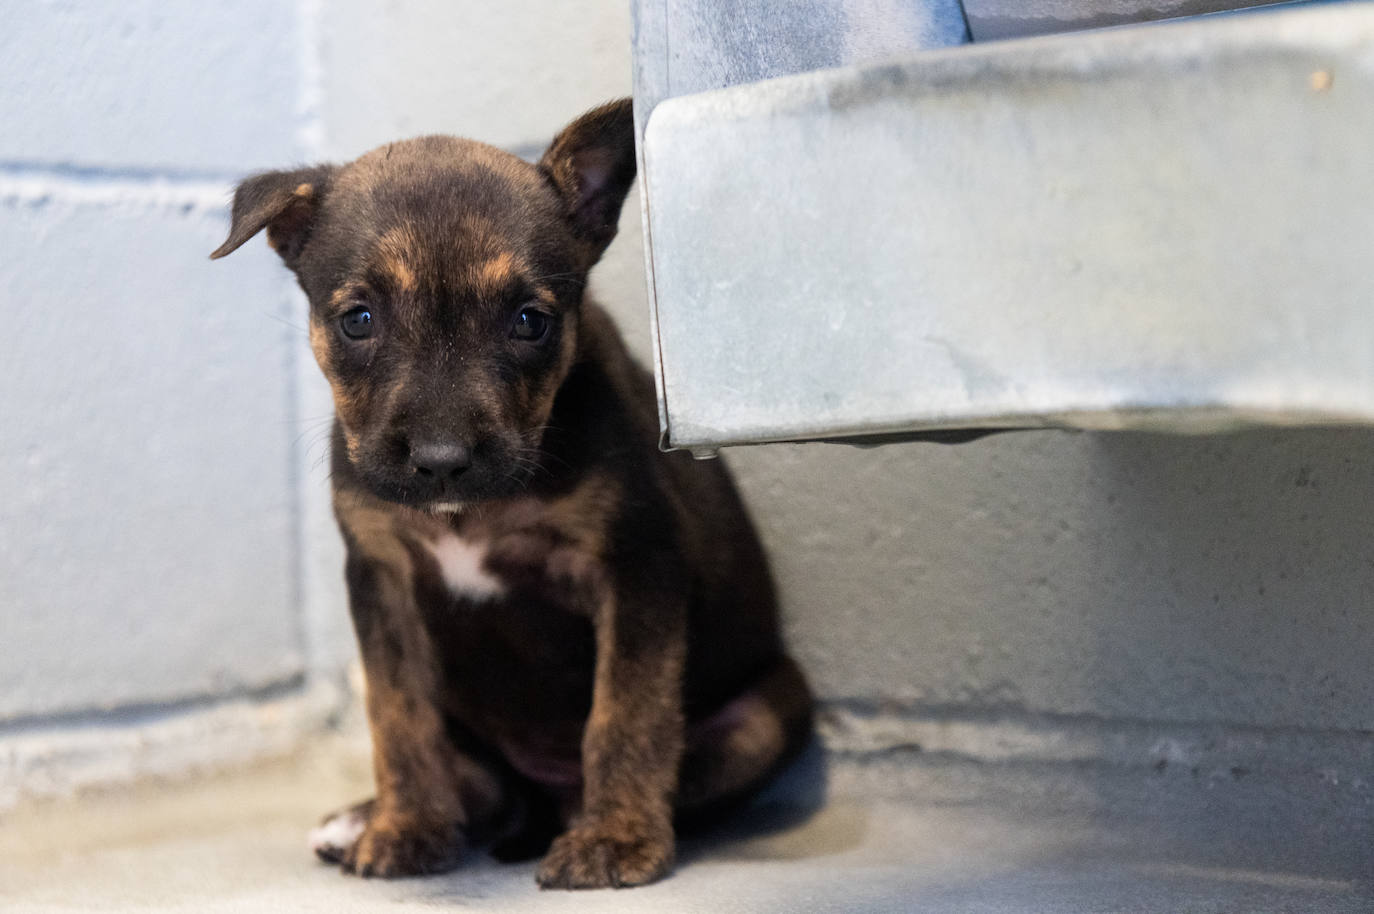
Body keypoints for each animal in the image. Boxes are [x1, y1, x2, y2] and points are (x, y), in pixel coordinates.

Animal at [212, 101, 807, 890]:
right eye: (357, 319)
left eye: (530, 321)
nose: (441, 463)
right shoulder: (381, 579)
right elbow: (399, 718)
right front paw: (407, 826)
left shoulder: (636, 566)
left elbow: (628, 714)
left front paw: (616, 839)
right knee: (480, 781)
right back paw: (367, 819)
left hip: (763, 718)